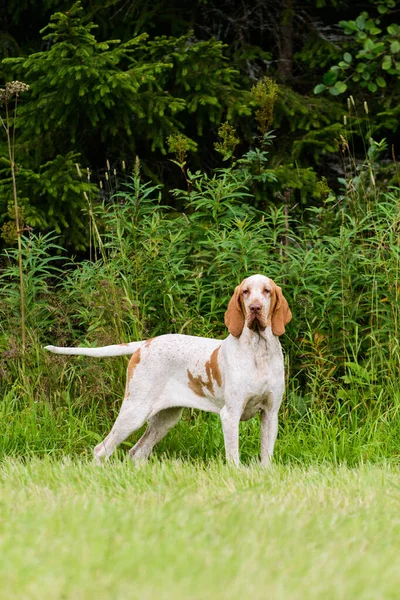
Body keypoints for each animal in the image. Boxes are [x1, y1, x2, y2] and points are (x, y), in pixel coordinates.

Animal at [46, 274, 290, 466]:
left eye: (267, 291)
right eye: (246, 292)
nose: (255, 308)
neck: (258, 352)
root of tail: (145, 344)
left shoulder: (270, 414)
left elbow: (266, 458)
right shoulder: (230, 414)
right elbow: (233, 458)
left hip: (165, 419)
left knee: (137, 452)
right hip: (135, 411)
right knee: (102, 450)